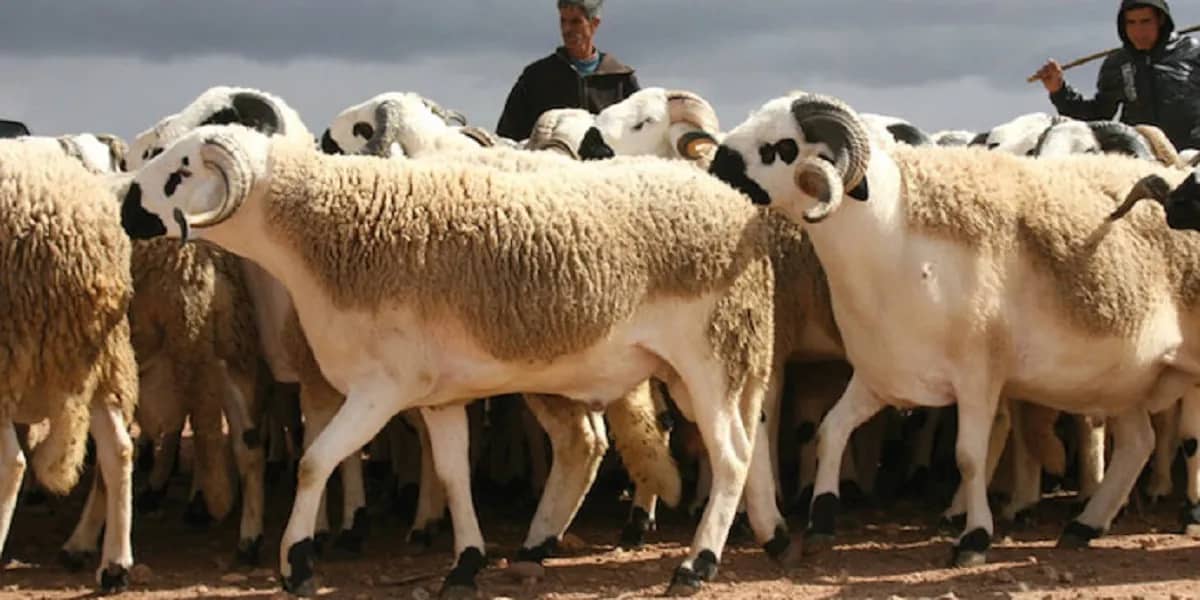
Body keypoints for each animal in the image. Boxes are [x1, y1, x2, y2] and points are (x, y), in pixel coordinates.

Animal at [120, 123, 780, 597]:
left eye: (180, 172)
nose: (125, 205)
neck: (327, 234)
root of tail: (741, 211)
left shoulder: (381, 388)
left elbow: (313, 463)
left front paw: (297, 564)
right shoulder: (437, 395)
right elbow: (452, 473)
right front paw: (465, 563)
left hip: (709, 354)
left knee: (729, 456)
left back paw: (695, 566)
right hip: (718, 361)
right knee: (734, 446)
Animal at [709, 90, 1200, 566]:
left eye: (782, 147)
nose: (714, 168)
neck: (892, 235)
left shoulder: (978, 378)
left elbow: (969, 458)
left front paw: (973, 539)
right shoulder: (883, 375)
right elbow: (831, 431)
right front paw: (821, 523)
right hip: (1122, 379)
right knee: (1138, 443)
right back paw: (1085, 526)